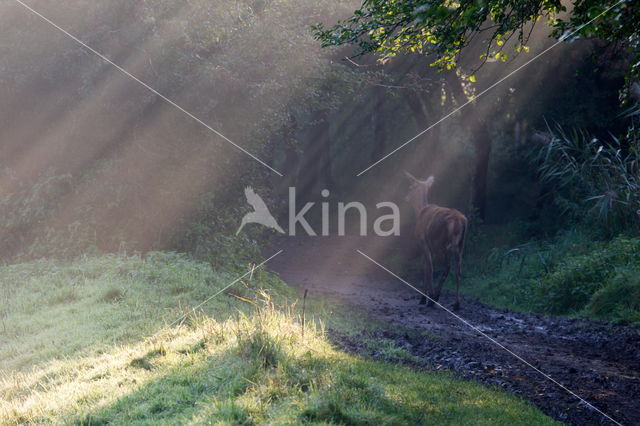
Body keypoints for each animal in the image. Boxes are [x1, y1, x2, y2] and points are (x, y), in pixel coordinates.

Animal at [408, 172, 468, 310]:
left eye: (411, 187)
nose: (406, 197)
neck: (419, 211)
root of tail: (460, 221)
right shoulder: (430, 247)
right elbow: (427, 267)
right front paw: (425, 297)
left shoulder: (423, 242)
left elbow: (428, 268)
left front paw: (424, 298)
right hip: (460, 244)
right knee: (458, 270)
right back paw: (456, 303)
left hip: (443, 243)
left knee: (447, 267)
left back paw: (435, 298)